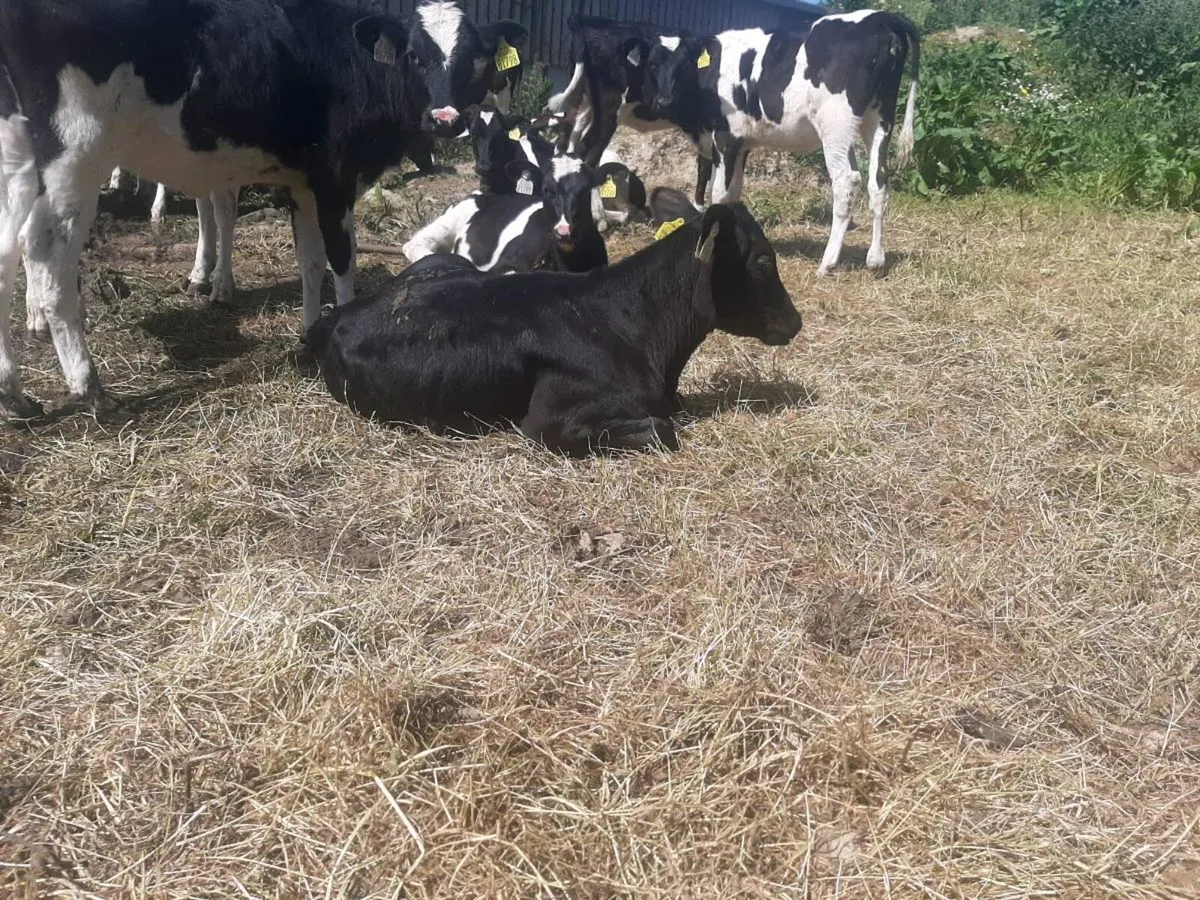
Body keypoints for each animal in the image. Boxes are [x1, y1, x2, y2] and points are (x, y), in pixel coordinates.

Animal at [402, 153, 610, 274]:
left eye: (585, 190)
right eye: (546, 190)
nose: (564, 231)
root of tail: (483, 195)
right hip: (449, 221)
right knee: (415, 245)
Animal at [651, 10, 920, 274]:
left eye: (685, 63)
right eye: (652, 64)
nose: (663, 100)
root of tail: (882, 17)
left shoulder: (727, 139)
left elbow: (719, 194)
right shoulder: (739, 145)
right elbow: (733, 192)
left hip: (836, 123)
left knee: (846, 181)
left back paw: (827, 262)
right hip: (880, 117)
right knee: (879, 180)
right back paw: (875, 259)